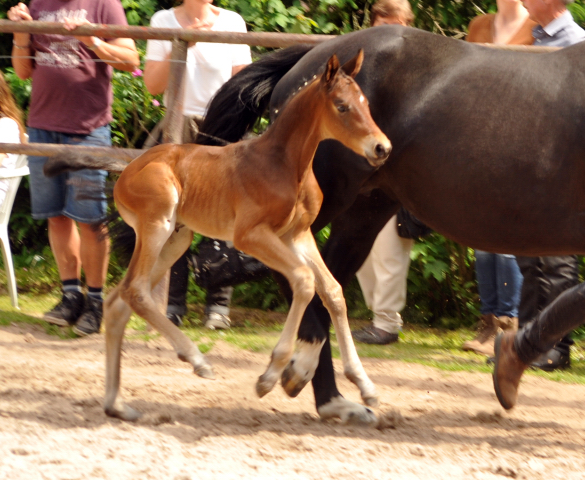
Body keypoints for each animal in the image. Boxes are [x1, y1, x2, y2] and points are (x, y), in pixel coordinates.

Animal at [100, 51, 390, 420]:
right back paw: (197, 360)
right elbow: (304, 280)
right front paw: (271, 375)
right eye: (342, 106)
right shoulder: (250, 236)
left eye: (366, 103)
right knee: (135, 291)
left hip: (175, 239)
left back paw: (116, 404)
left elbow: (333, 291)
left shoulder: (298, 235)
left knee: (118, 301)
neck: (285, 165)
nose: (382, 148)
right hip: (158, 224)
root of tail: (125, 174)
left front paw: (365, 386)